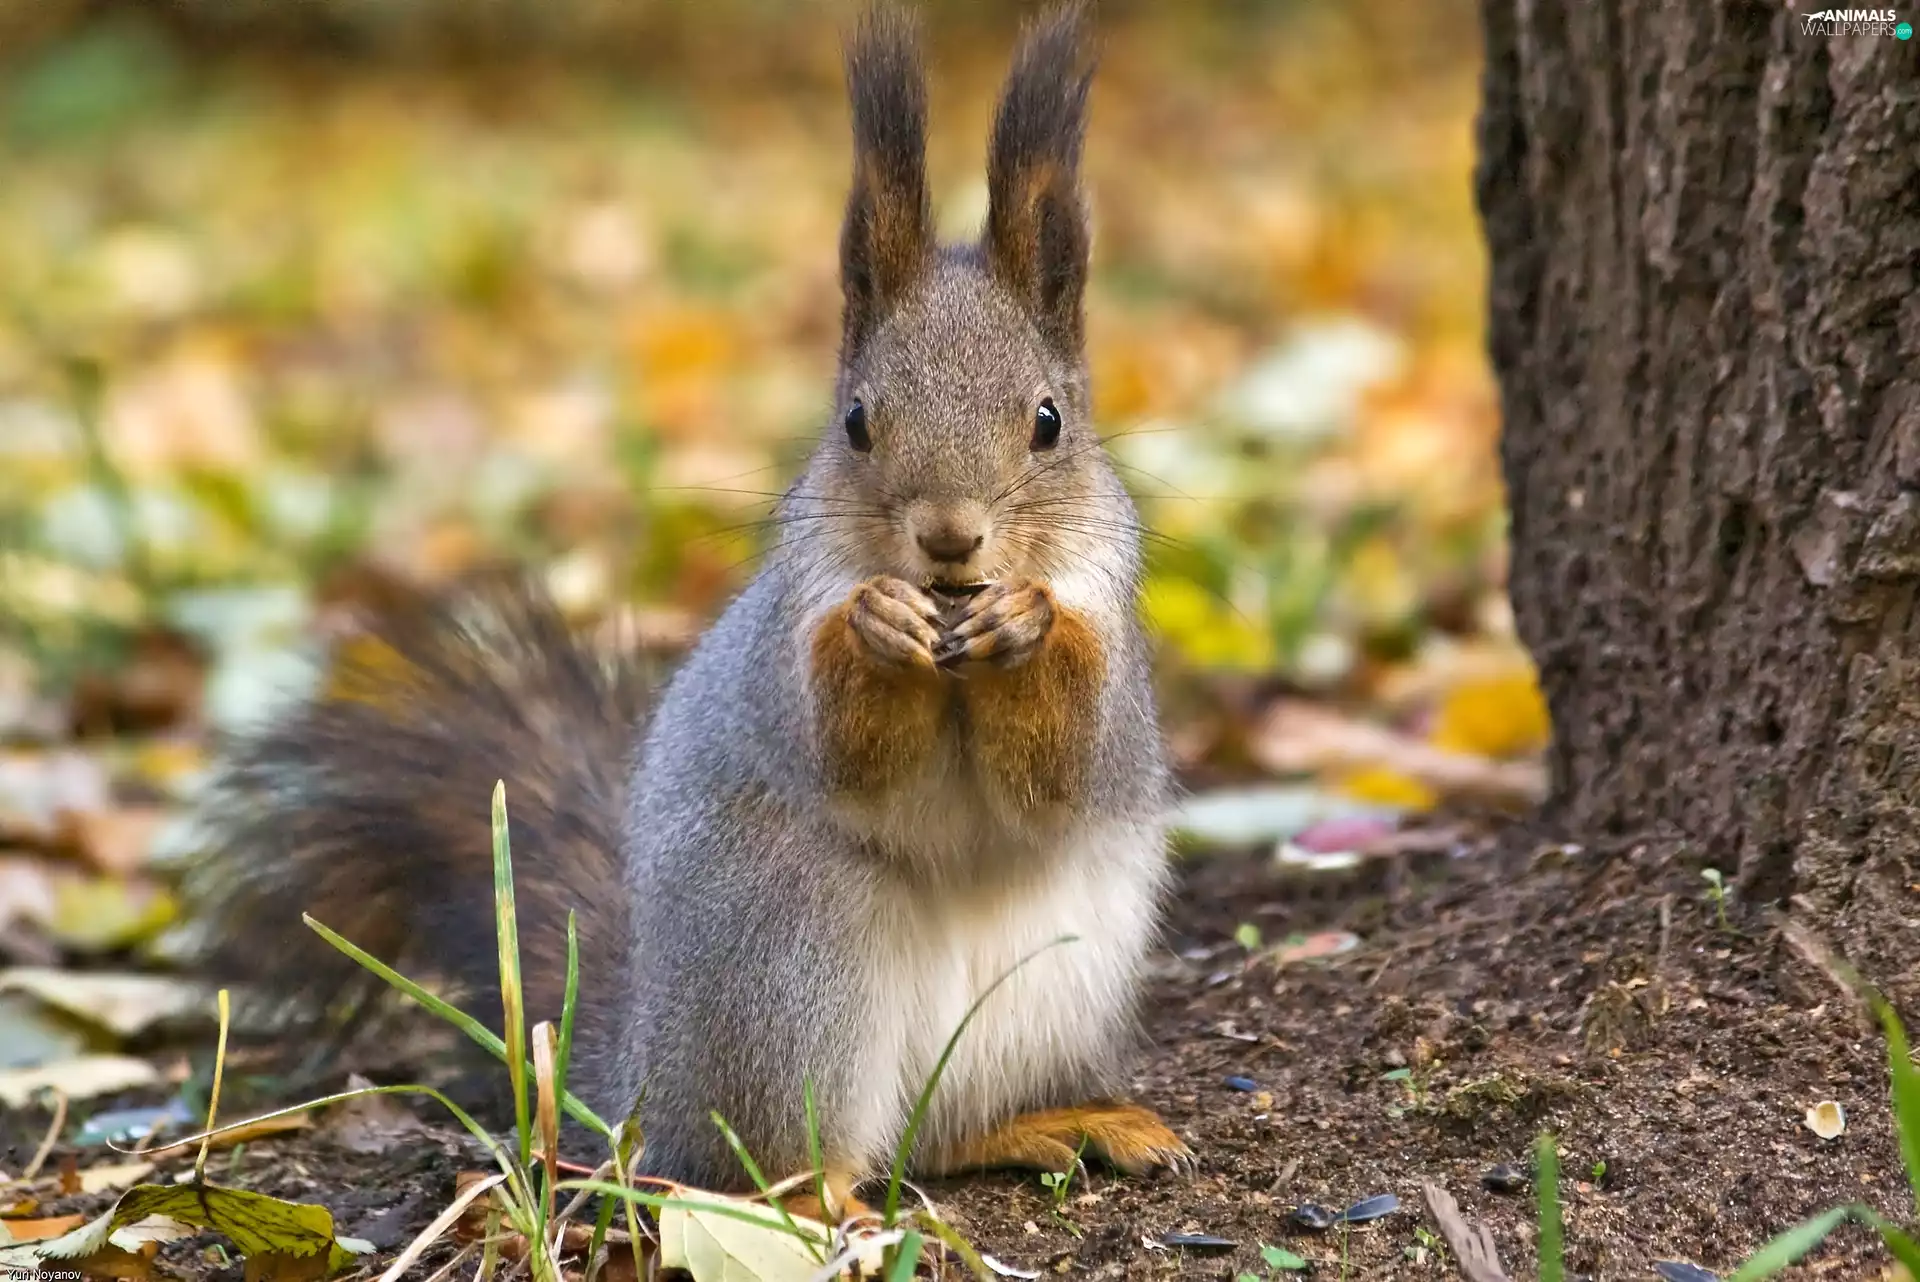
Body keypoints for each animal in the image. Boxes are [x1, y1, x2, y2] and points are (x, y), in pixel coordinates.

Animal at [189, 3, 1188, 1221]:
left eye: (1048, 421)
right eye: (857, 421)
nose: (950, 540)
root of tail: (647, 1073)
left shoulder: (1113, 646)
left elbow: (1064, 770)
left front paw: (1028, 626)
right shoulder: (786, 647)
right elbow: (842, 749)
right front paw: (880, 631)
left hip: (1048, 985)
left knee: (943, 1136)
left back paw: (1065, 1121)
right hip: (789, 961)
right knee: (781, 1158)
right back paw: (828, 1201)